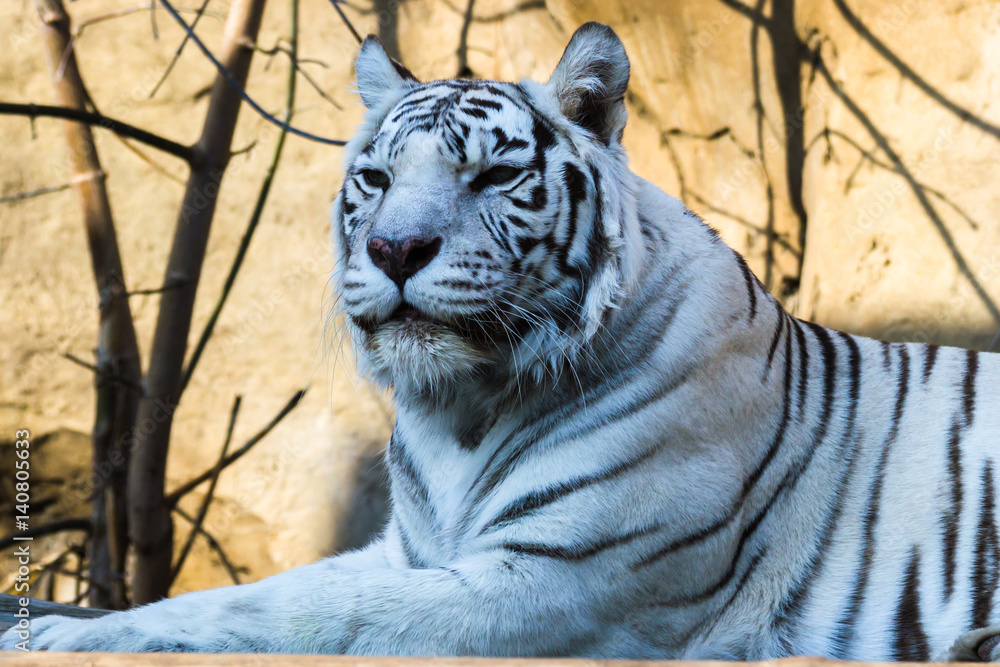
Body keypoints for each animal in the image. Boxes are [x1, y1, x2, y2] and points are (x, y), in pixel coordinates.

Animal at [3, 22, 999, 661]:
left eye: (491, 175)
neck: (461, 405)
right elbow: (250, 590)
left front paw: (65, 631)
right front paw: (67, 621)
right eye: (375, 179)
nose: (395, 249)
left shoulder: (559, 584)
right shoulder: (407, 549)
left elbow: (314, 609)